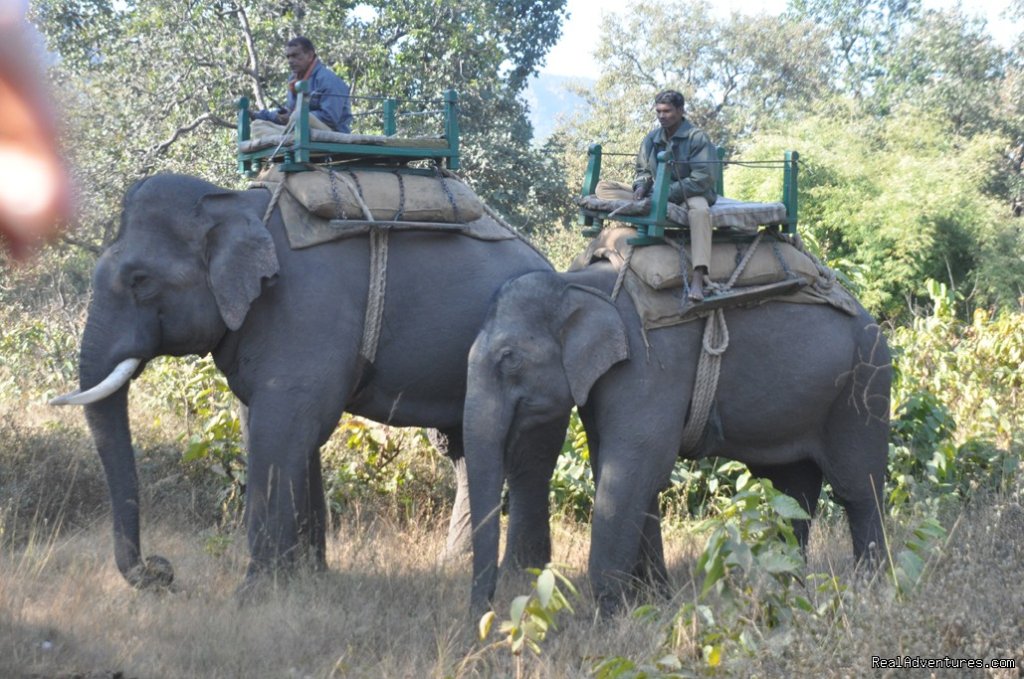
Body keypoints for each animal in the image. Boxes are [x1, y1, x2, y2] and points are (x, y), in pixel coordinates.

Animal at [49, 173, 561, 593]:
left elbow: (282, 429)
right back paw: (450, 568)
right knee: (461, 448)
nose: (163, 571)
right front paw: (307, 581)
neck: (236, 203)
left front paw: (254, 596)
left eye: (140, 280)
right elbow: (285, 431)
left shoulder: (308, 311)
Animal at [464, 262, 888, 618]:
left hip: (863, 388)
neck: (577, 282)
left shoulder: (649, 368)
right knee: (792, 494)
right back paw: (782, 593)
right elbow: (628, 474)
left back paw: (871, 590)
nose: (485, 618)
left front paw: (608, 619)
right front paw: (654, 603)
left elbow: (635, 470)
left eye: (509, 358)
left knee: (858, 490)